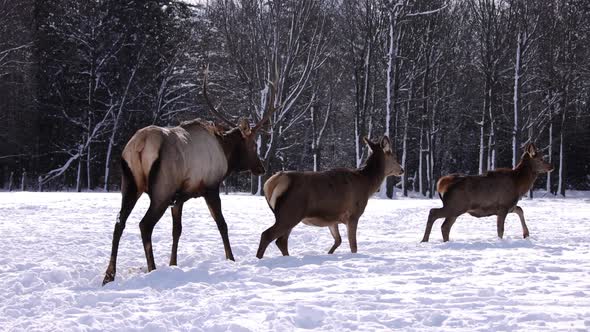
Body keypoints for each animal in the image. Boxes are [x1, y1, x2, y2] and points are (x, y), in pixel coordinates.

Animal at [102, 68, 278, 284]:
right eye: (253, 145)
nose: (261, 168)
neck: (225, 152)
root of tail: (140, 146)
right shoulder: (210, 187)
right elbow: (222, 224)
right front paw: (231, 258)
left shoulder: (178, 198)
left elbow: (176, 230)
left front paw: (173, 263)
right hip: (161, 191)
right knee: (145, 224)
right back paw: (152, 269)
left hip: (130, 185)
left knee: (119, 222)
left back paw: (109, 275)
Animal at [260, 136, 408, 258]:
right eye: (393, 155)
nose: (402, 169)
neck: (367, 185)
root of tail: (271, 183)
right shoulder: (353, 215)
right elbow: (353, 246)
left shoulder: (333, 219)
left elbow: (338, 240)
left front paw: (328, 254)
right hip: (290, 212)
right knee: (268, 235)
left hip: (289, 215)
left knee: (281, 241)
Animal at [420, 144, 556, 243]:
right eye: (541, 159)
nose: (552, 166)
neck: (519, 186)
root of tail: (441, 185)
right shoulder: (503, 206)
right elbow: (500, 229)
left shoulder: (510, 206)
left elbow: (520, 209)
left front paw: (526, 234)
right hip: (456, 206)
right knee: (434, 213)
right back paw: (425, 240)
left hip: (455, 209)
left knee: (445, 226)